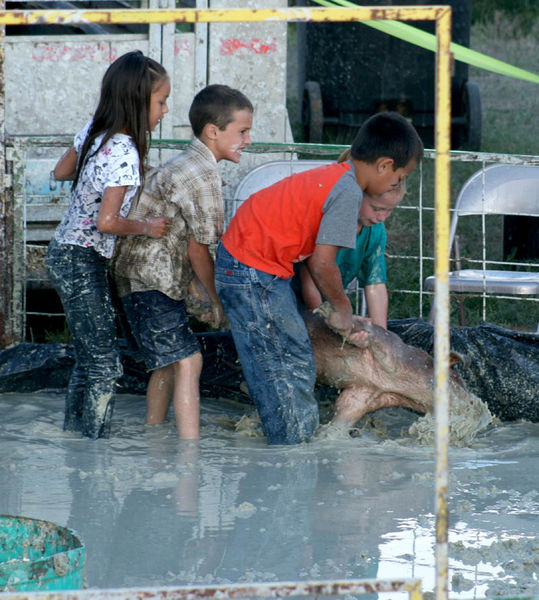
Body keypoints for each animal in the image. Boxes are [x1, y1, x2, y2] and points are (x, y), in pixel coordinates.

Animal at [306, 310, 496, 446]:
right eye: (458, 379)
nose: (485, 413)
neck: (394, 385)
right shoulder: (389, 347)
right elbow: (366, 331)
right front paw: (326, 310)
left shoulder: (365, 394)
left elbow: (343, 414)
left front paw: (327, 435)